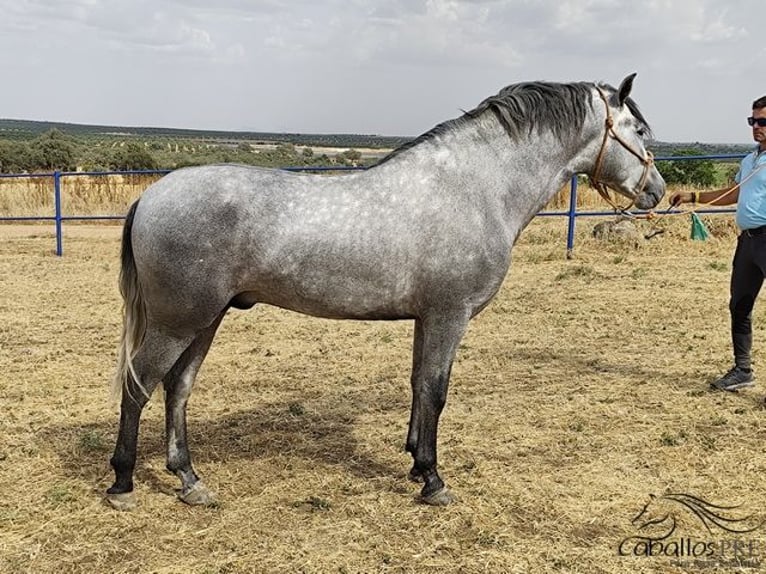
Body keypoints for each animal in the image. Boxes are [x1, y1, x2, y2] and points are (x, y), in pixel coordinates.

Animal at [106, 74, 664, 510]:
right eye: (638, 131)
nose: (656, 192)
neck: (475, 188)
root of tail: (150, 196)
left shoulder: (427, 318)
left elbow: (419, 386)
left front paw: (417, 464)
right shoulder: (448, 316)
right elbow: (436, 391)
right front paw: (434, 481)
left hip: (206, 319)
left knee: (177, 389)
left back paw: (189, 480)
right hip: (178, 322)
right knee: (139, 386)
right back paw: (123, 482)